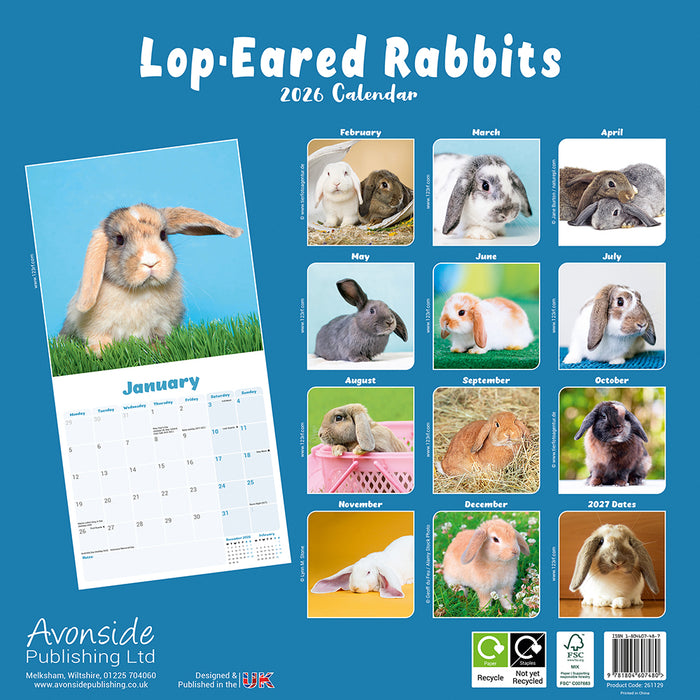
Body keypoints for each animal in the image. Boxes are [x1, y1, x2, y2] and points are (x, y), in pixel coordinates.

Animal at [60, 204, 242, 356]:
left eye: (163, 235)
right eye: (120, 240)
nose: (150, 262)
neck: (141, 291)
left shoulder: (161, 326)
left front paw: (159, 350)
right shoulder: (95, 327)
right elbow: (98, 337)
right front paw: (99, 351)